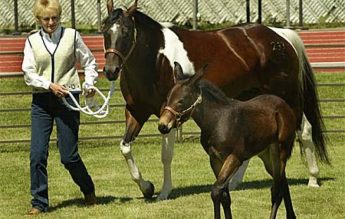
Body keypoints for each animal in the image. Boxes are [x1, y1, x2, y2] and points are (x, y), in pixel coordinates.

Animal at [101, 0, 328, 200]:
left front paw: (164, 192)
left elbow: (166, 155)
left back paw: (313, 179)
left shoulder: (170, 114)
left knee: (305, 130)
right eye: (104, 30)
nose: (111, 71)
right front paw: (147, 187)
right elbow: (125, 147)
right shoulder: (136, 112)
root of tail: (281, 36)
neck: (155, 57)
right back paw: (234, 182)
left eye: (126, 31)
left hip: (288, 98)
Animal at [159, 62, 296, 218]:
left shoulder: (235, 157)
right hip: (267, 156)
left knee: (277, 190)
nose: (162, 126)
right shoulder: (215, 159)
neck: (217, 121)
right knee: (283, 182)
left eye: (181, 101)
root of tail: (285, 106)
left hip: (281, 151)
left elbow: (216, 191)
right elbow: (225, 196)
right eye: (168, 98)